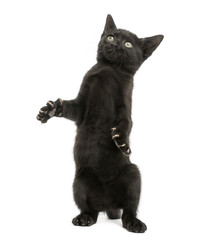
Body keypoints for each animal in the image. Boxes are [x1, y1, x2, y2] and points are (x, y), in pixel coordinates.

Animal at [36, 14, 163, 232]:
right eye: (111, 37)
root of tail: (109, 205)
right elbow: (68, 107)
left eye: (128, 44)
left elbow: (126, 123)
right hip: (79, 181)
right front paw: (50, 110)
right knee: (90, 209)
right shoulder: (81, 106)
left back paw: (134, 223)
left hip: (133, 174)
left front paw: (121, 142)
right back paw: (84, 219)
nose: (115, 44)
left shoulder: (125, 106)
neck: (108, 70)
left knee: (129, 208)